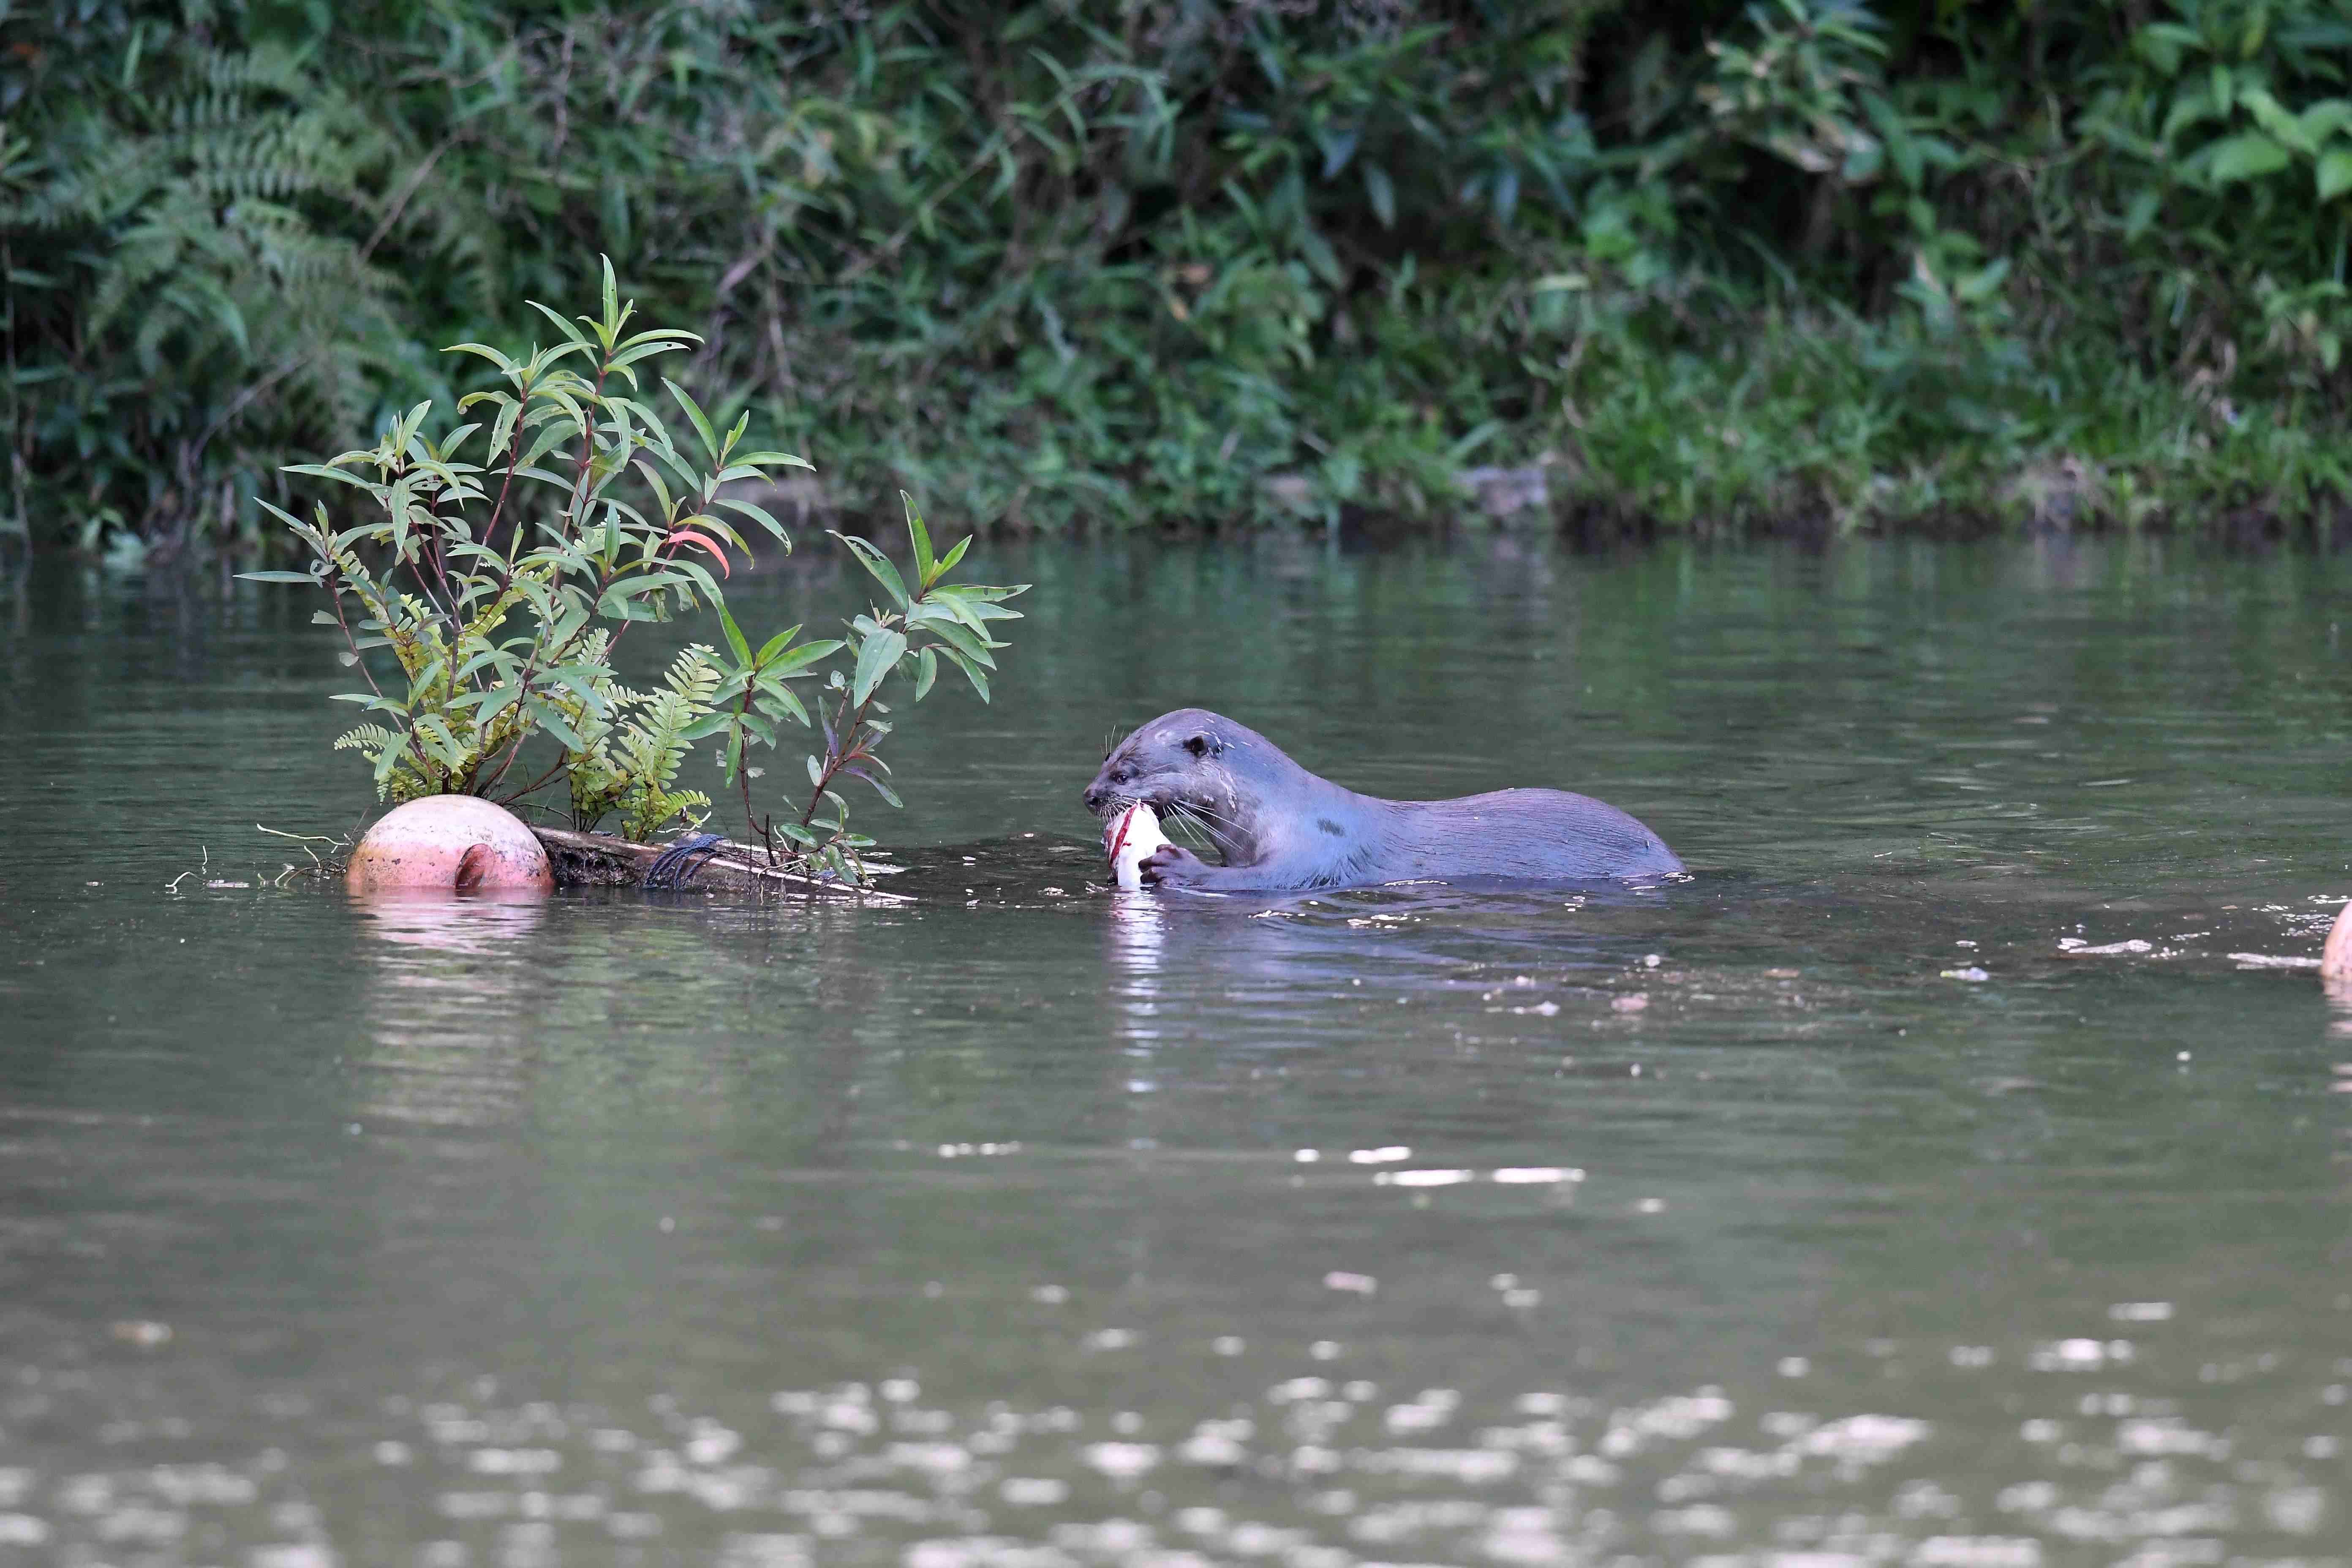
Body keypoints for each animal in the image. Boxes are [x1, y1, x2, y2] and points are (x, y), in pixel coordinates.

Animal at [1083, 708, 1683, 891]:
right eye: (1106, 758)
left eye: (1126, 771)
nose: (1090, 795)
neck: (1274, 808)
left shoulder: (1317, 849)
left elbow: (1265, 880)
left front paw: (1178, 865)